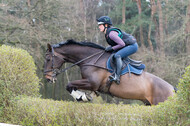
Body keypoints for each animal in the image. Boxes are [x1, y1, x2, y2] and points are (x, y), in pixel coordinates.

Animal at [43, 39, 176, 105]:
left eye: (48, 59)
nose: (48, 78)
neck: (91, 59)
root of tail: (173, 89)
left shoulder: (92, 83)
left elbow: (69, 85)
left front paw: (81, 97)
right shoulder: (89, 83)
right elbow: (72, 86)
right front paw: (84, 96)